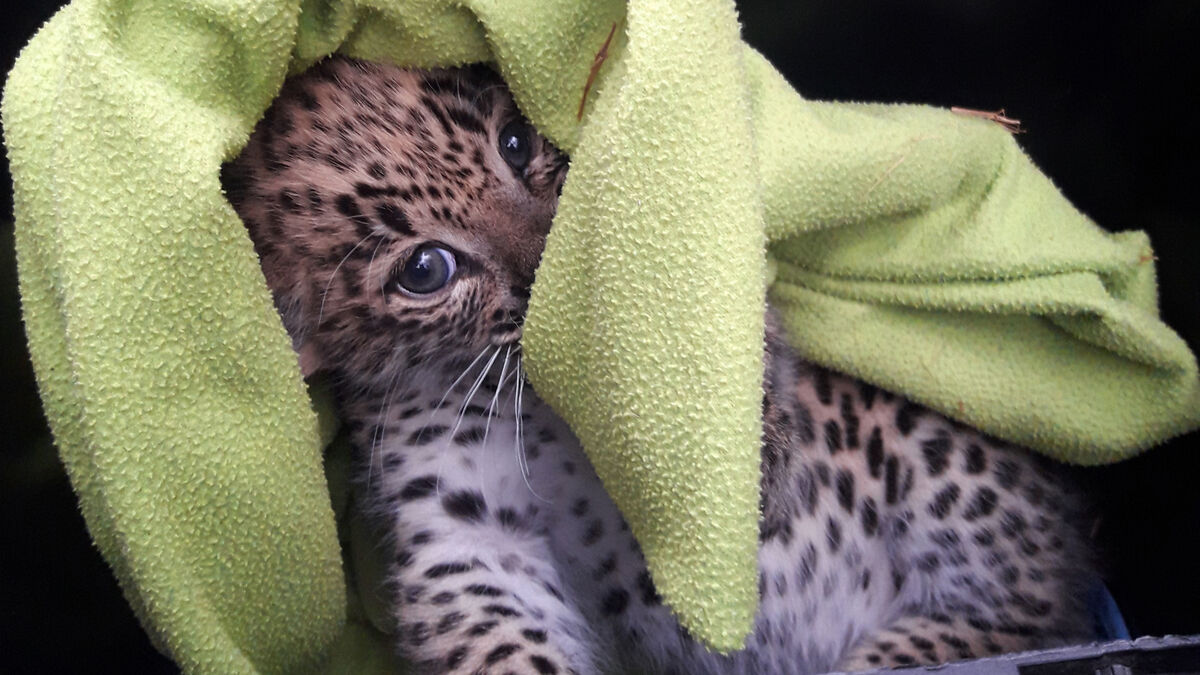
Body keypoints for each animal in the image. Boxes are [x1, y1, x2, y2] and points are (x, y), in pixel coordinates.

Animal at [221, 56, 1098, 674]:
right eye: (425, 270)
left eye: (515, 140)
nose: (559, 276)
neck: (534, 402)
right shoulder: (464, 537)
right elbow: (499, 633)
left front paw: (726, 471)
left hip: (940, 456)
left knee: (1021, 608)